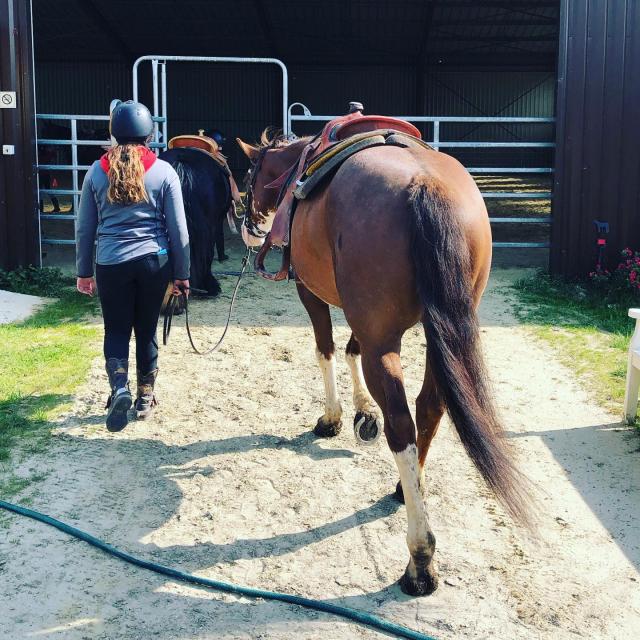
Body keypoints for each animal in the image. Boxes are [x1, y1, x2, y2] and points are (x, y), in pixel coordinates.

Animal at [235, 127, 528, 596]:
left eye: (248, 176)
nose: (244, 226)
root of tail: (427, 185)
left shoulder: (311, 292)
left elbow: (325, 349)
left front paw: (334, 417)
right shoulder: (367, 323)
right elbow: (350, 350)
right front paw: (362, 412)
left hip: (384, 343)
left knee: (402, 426)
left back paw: (420, 560)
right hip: (435, 334)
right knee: (429, 407)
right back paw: (405, 490)